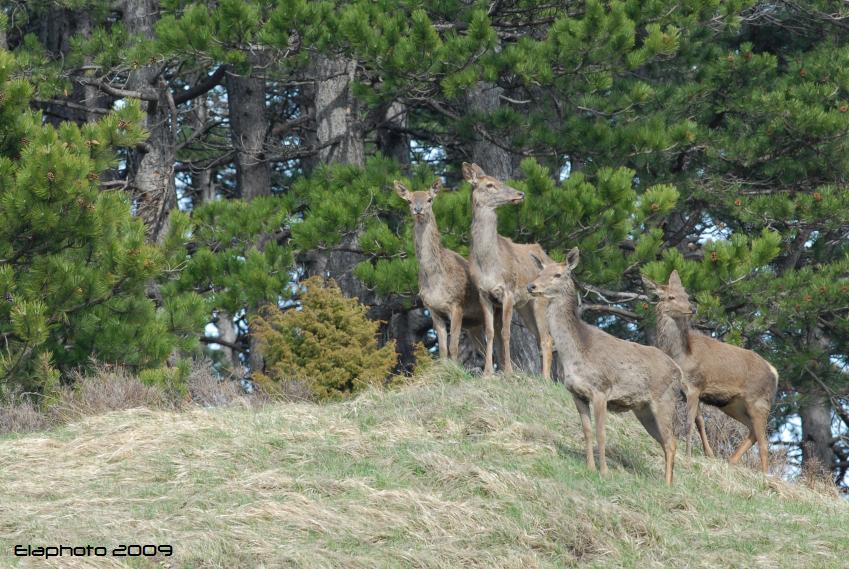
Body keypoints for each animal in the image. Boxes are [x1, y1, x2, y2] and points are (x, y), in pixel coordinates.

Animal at [394, 179, 486, 360]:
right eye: (409, 201)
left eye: (429, 199)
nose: (418, 209)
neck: (435, 279)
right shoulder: (433, 309)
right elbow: (443, 349)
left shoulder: (457, 305)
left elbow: (453, 347)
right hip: (474, 324)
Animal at [464, 162, 556, 380]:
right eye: (490, 184)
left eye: (499, 180)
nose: (520, 193)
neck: (488, 263)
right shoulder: (483, 293)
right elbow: (490, 332)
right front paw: (488, 372)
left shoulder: (508, 290)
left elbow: (506, 332)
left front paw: (508, 372)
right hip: (526, 306)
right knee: (541, 337)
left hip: (541, 301)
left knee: (547, 339)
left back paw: (546, 379)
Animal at [528, 248, 680, 484]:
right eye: (539, 272)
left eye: (558, 274)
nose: (531, 287)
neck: (577, 351)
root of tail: (678, 370)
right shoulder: (576, 393)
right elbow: (587, 431)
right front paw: (590, 468)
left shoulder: (601, 389)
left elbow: (601, 432)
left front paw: (604, 472)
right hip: (643, 408)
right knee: (666, 442)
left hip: (664, 400)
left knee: (672, 441)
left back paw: (667, 485)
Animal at [644, 268, 776, 472]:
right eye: (671, 297)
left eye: (687, 295)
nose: (692, 308)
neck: (681, 355)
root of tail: (774, 371)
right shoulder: (689, 392)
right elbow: (699, 421)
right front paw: (710, 454)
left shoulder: (695, 385)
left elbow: (689, 423)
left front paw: (688, 457)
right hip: (733, 404)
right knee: (753, 431)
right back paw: (731, 460)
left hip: (759, 401)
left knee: (764, 443)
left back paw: (764, 474)